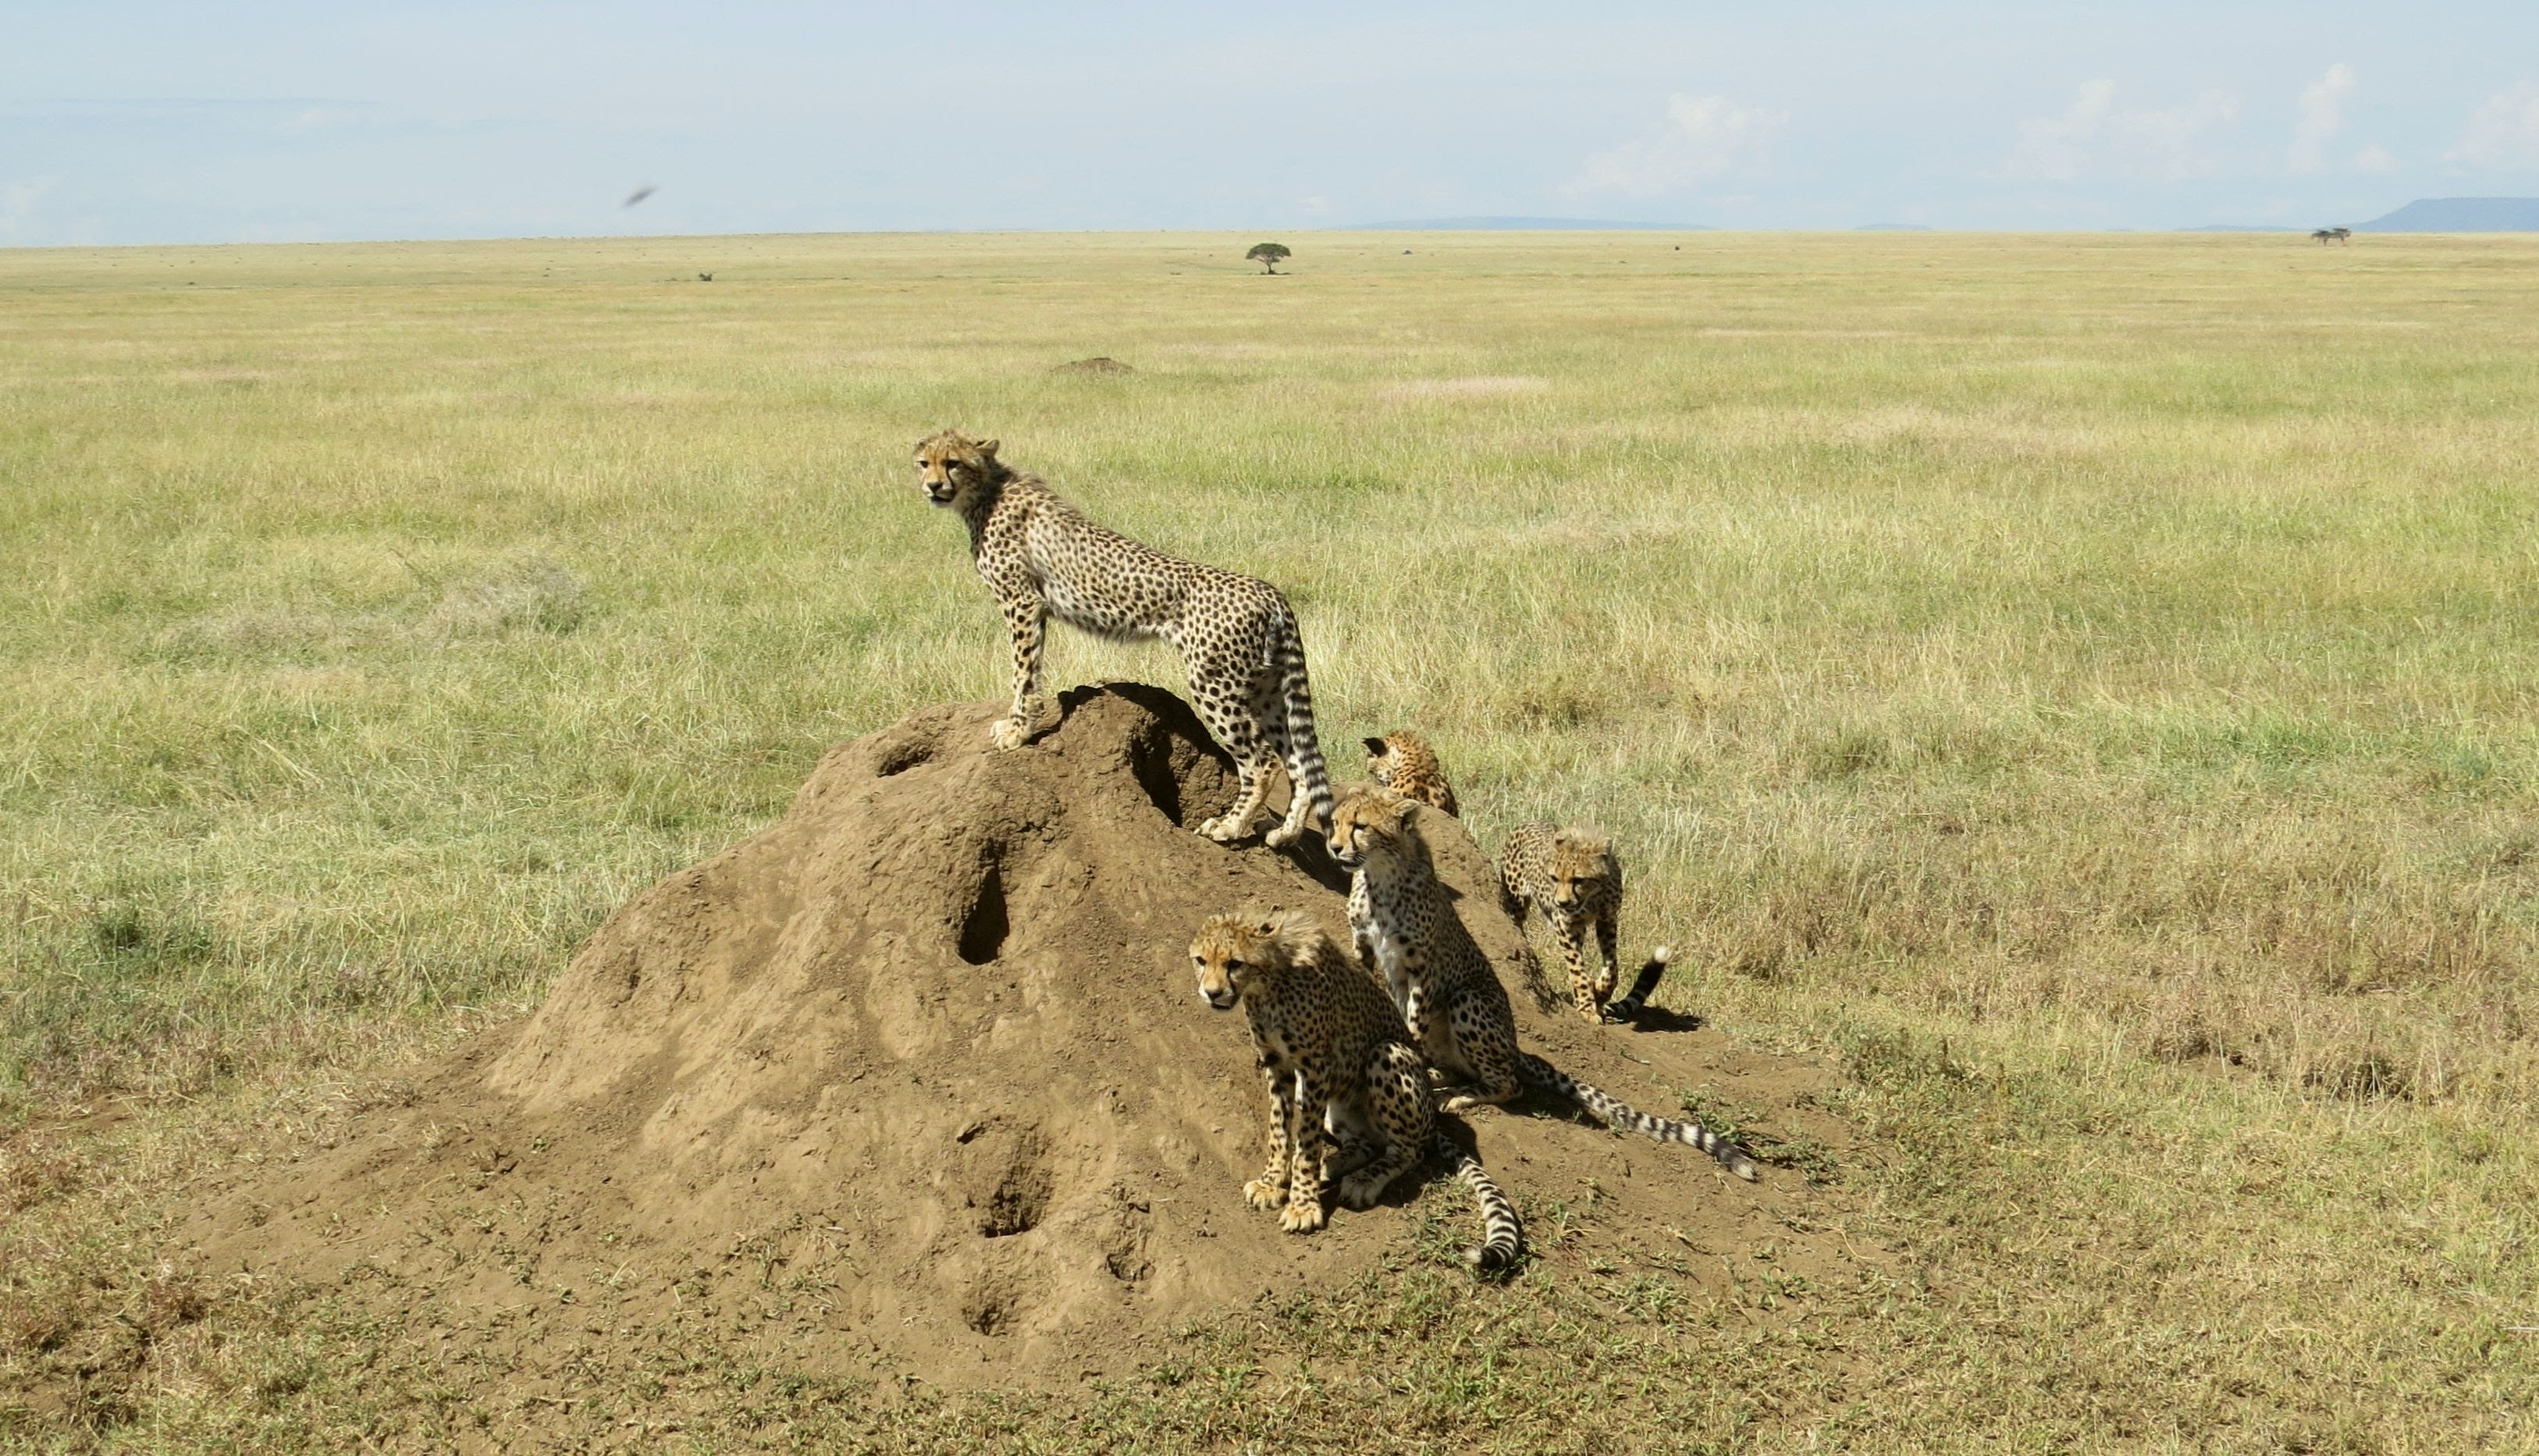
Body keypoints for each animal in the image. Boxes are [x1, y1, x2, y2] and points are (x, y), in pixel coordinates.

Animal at [919, 431, 1350, 857]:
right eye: (925, 463)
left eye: (953, 462)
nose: (933, 486)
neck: (986, 490)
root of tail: (1269, 591)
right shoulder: (1032, 607)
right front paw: (1015, 725)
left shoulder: (1022, 603)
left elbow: (1023, 675)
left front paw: (1017, 731)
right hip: (1265, 689)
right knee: (1298, 763)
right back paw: (1284, 834)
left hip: (1215, 683)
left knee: (1263, 762)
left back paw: (1229, 826)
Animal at [1182, 907, 1513, 1273]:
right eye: (1201, 960)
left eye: (1235, 963)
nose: (1212, 993)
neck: (1267, 981)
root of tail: (1432, 1120)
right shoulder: (1278, 1065)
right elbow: (1279, 1131)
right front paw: (1272, 1182)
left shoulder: (1315, 1068)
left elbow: (1307, 1144)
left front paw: (1303, 1205)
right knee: (1366, 1144)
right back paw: (1333, 1166)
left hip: (1388, 1054)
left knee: (1410, 1151)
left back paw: (1365, 1179)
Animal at [1330, 786, 1767, 1187]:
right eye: (1335, 822)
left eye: (1361, 826)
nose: (1333, 848)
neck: (1381, 876)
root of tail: (1514, 1047)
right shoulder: (1364, 948)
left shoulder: (1423, 967)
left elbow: (1415, 1022)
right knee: (1462, 1069)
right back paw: (1439, 1077)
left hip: (1469, 999)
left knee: (1509, 1084)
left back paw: (1458, 1092)